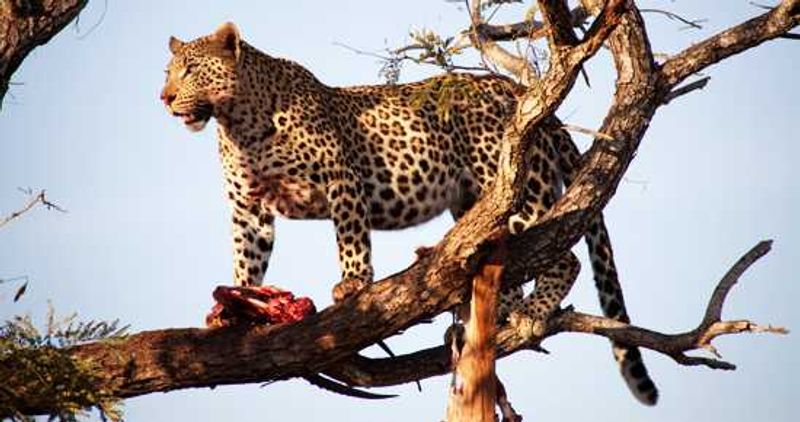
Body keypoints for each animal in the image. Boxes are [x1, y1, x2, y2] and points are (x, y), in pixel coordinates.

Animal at [160, 22, 658, 405]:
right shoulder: (248, 208)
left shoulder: (341, 178)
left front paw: (353, 284)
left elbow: (351, 237)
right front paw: (236, 306)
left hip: (517, 185)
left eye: (190, 70)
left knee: (563, 255)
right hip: (473, 202)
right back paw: (496, 316)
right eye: (169, 72)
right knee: (511, 264)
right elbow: (248, 259)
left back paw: (532, 314)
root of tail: (519, 91)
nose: (163, 97)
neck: (238, 122)